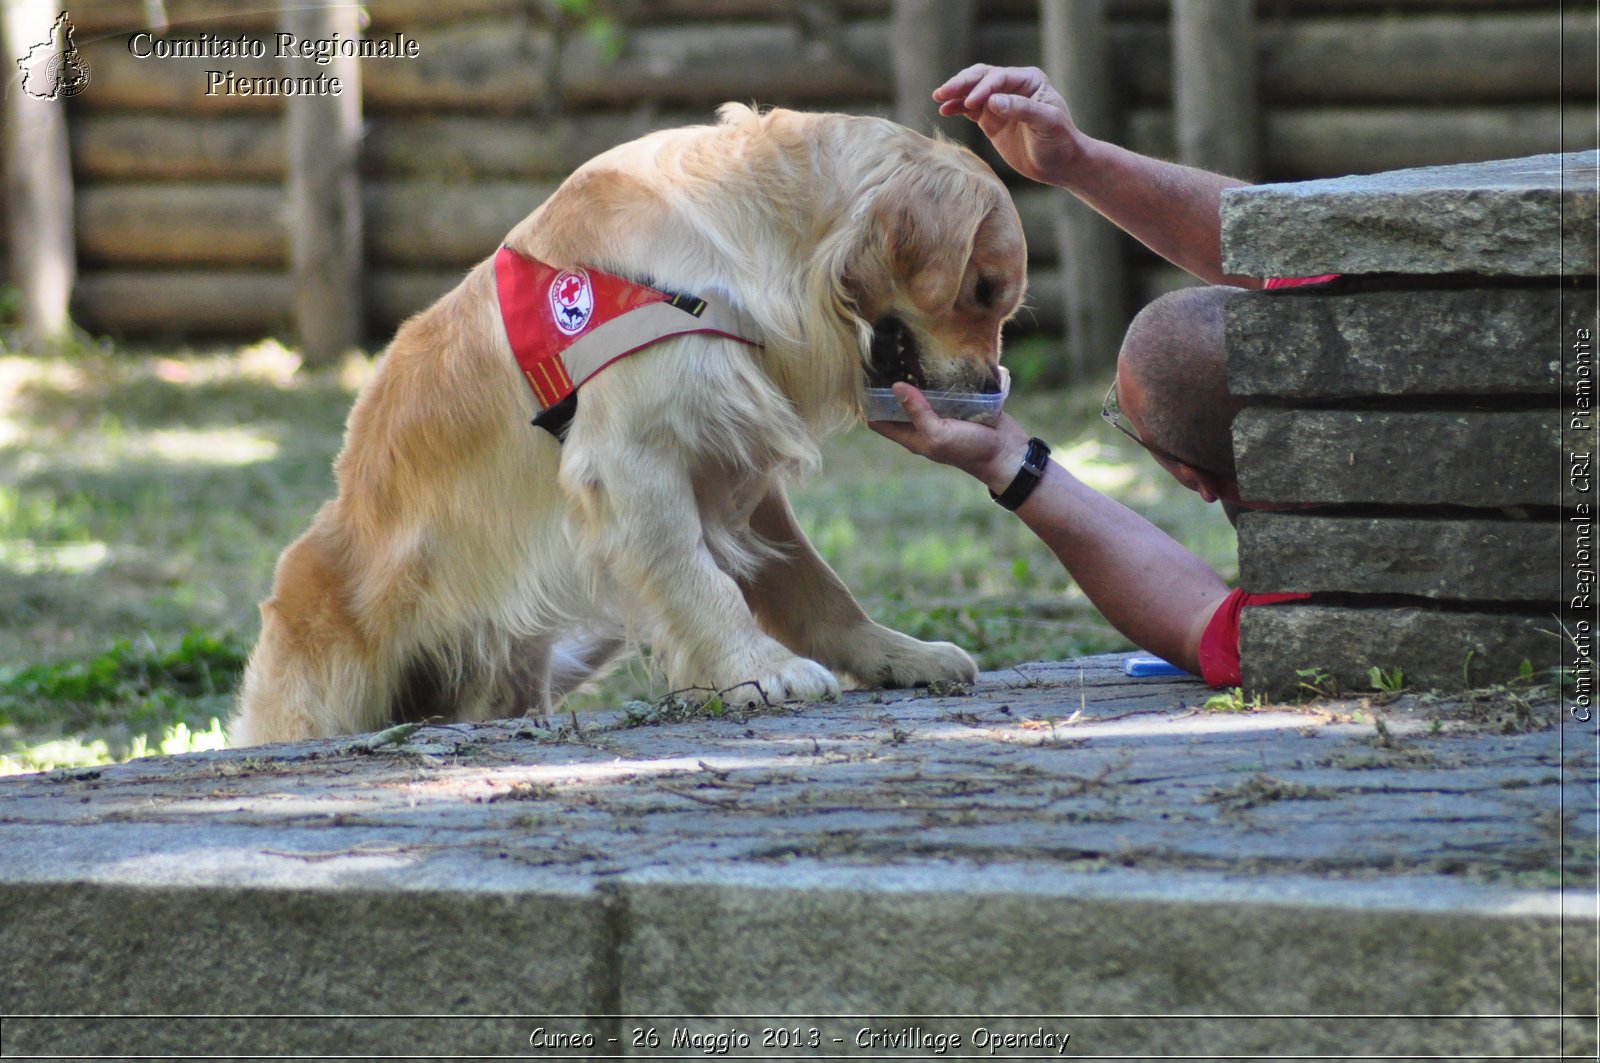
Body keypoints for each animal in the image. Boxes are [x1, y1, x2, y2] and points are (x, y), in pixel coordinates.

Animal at [228, 104, 1024, 742]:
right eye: (982, 290)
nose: (992, 387)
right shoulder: (634, 457)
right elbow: (701, 580)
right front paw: (758, 669)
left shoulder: (730, 457)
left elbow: (817, 587)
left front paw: (896, 656)